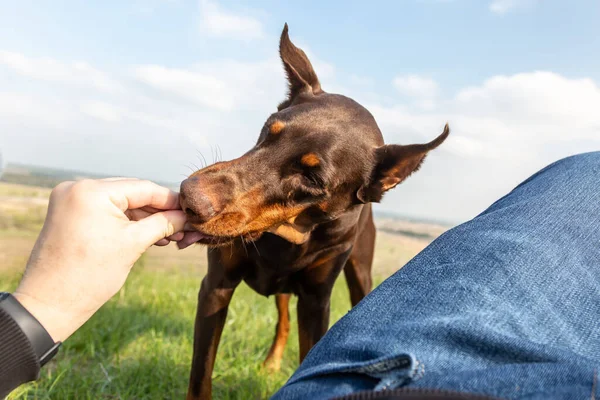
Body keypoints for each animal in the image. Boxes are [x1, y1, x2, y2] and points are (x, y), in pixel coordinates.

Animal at [178, 23, 450, 398]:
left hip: (360, 271)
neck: (288, 235)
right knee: (282, 318)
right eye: (268, 129)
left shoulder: (316, 301)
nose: (190, 198)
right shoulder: (216, 286)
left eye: (311, 177)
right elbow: (200, 374)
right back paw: (272, 362)